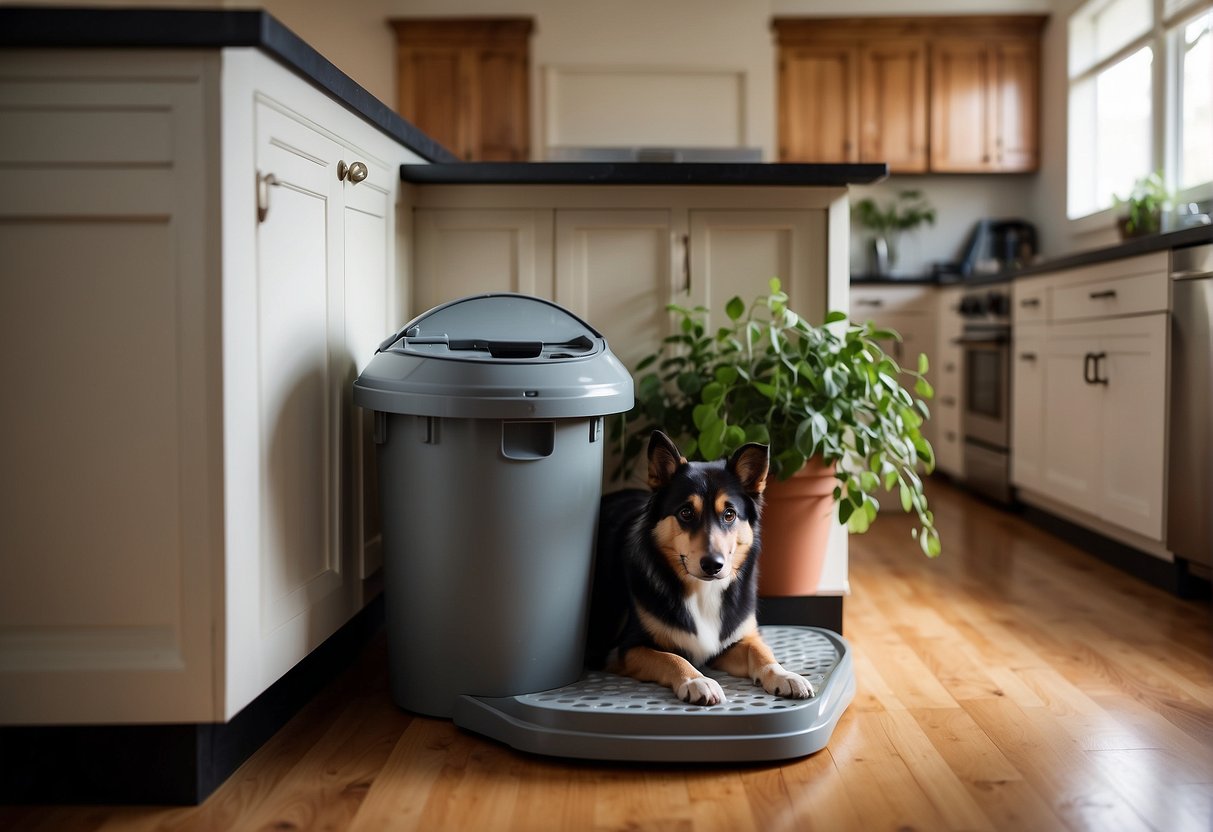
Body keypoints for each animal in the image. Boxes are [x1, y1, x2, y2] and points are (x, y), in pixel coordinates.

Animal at [587, 434, 815, 708]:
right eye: (686, 512)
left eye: (729, 514)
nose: (713, 565)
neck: (703, 590)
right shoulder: (624, 649)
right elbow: (670, 657)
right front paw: (696, 681)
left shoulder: (730, 642)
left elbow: (760, 650)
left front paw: (784, 675)